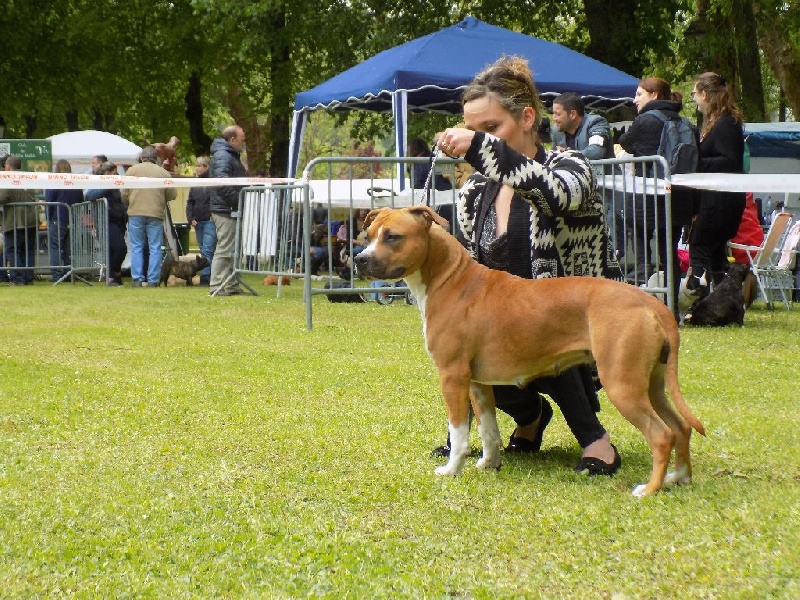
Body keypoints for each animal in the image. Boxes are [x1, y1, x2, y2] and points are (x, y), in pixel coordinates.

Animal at [354, 206, 704, 496]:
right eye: (368, 236)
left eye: (393, 236)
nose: (360, 259)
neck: (448, 277)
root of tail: (652, 303)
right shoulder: (478, 384)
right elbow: (488, 430)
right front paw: (488, 464)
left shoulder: (452, 377)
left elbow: (459, 431)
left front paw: (452, 469)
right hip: (651, 384)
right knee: (680, 427)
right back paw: (678, 478)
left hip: (623, 385)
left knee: (661, 435)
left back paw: (649, 489)